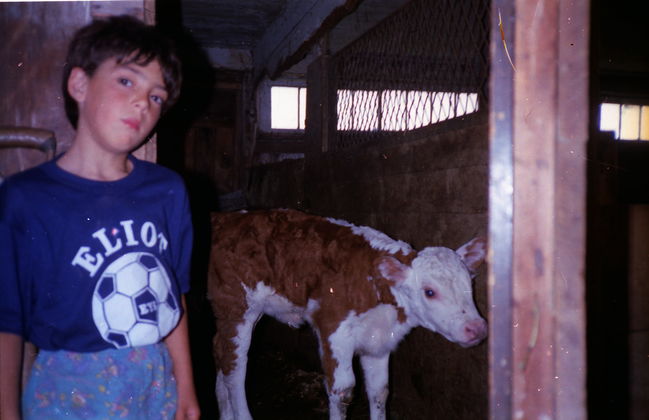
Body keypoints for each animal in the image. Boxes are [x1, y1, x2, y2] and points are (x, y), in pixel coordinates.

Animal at [208, 209, 486, 420]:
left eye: (469, 284)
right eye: (429, 291)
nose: (476, 328)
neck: (373, 283)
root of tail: (226, 217)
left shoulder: (379, 338)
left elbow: (380, 390)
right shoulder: (334, 330)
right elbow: (343, 391)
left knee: (220, 351)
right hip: (237, 305)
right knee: (235, 364)